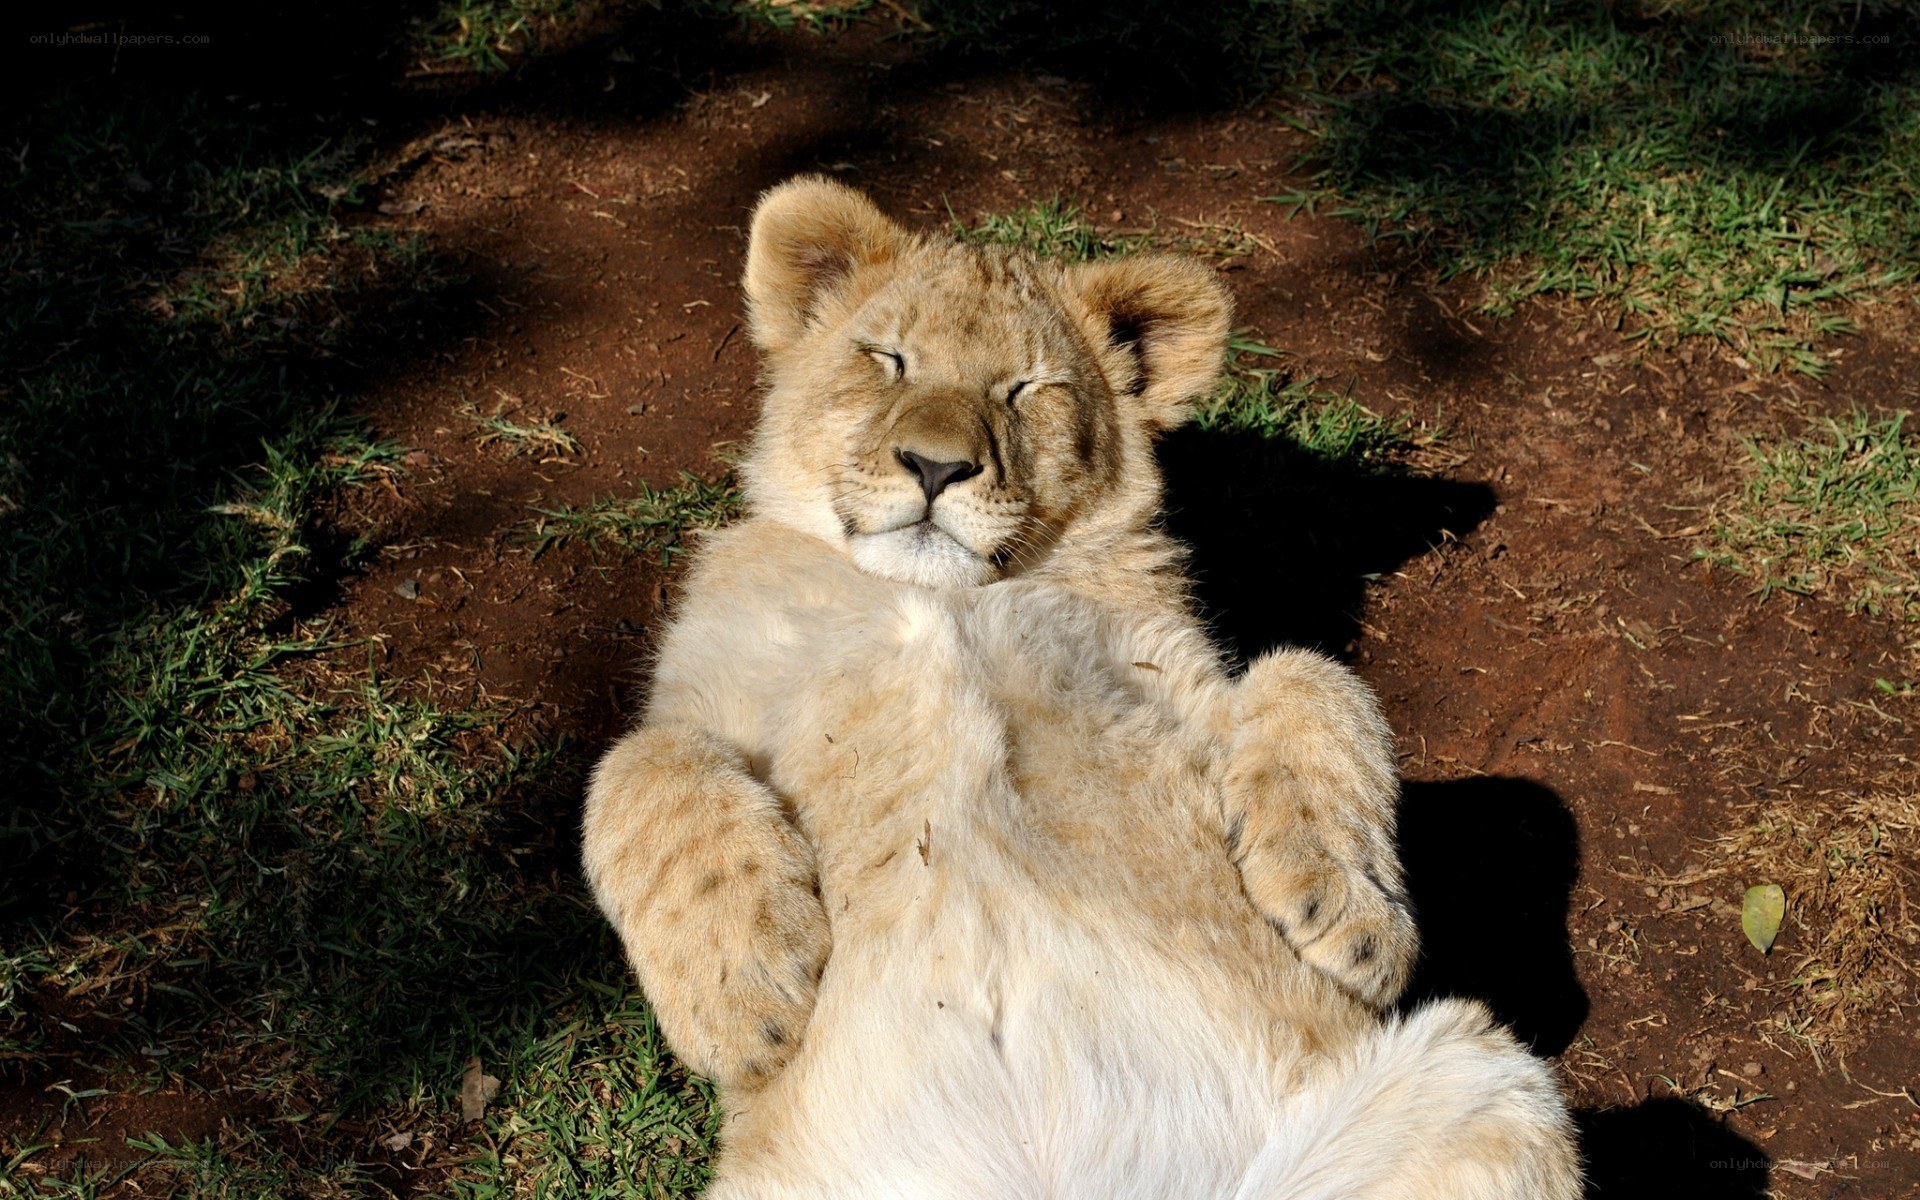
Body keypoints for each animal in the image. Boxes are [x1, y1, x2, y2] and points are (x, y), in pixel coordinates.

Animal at [582, 177, 1580, 1199]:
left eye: (1028, 388)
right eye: (888, 359)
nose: (936, 466)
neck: (944, 597)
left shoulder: (1180, 687)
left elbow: (1316, 677)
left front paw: (1350, 917)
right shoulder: (715, 689)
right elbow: (636, 765)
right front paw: (742, 996)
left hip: (1487, 1081)